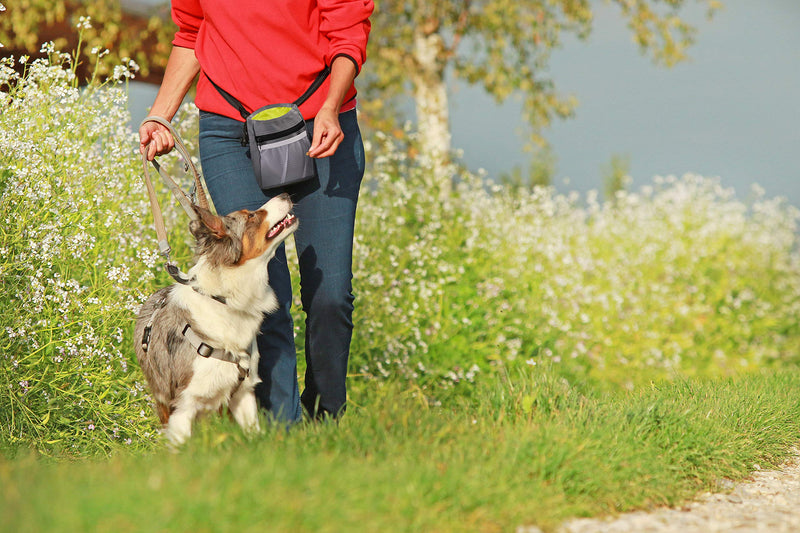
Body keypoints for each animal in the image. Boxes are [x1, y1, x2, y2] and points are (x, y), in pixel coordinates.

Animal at [134, 193, 296, 442]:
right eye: (251, 216)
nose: (285, 194)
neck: (225, 299)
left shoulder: (243, 393)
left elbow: (253, 434)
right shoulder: (182, 405)